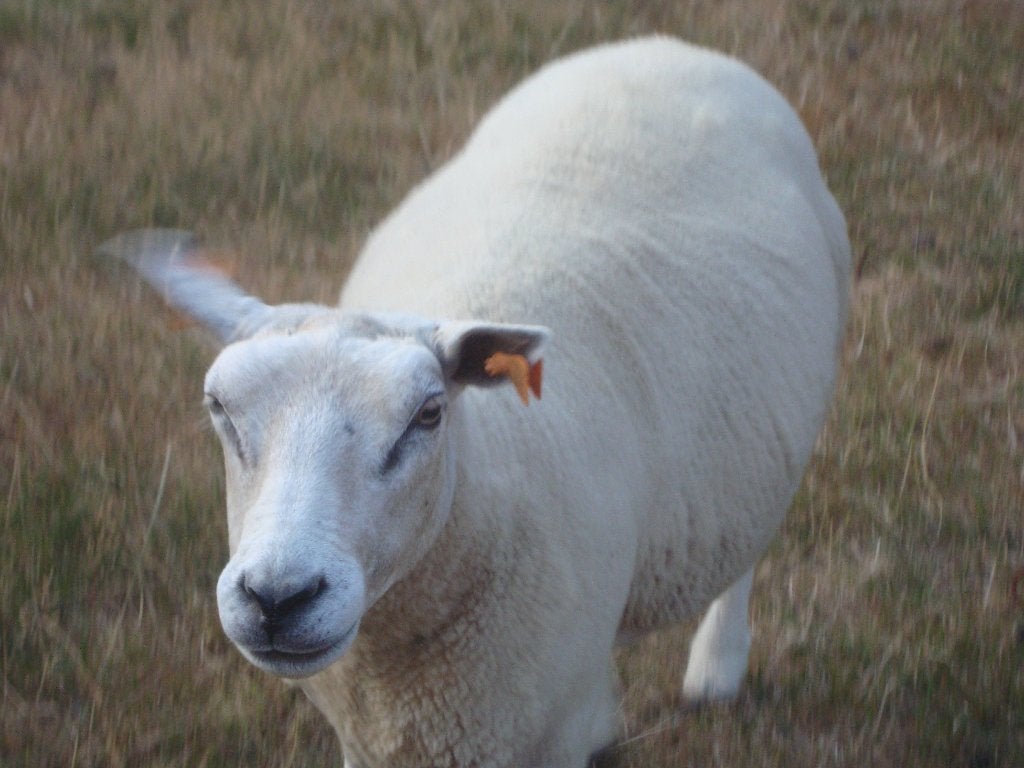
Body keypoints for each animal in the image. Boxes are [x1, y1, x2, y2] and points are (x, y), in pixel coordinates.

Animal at [103, 36, 849, 768]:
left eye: (428, 415)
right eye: (218, 407)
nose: (277, 597)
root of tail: (670, 46)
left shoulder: (550, 723)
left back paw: (717, 667)